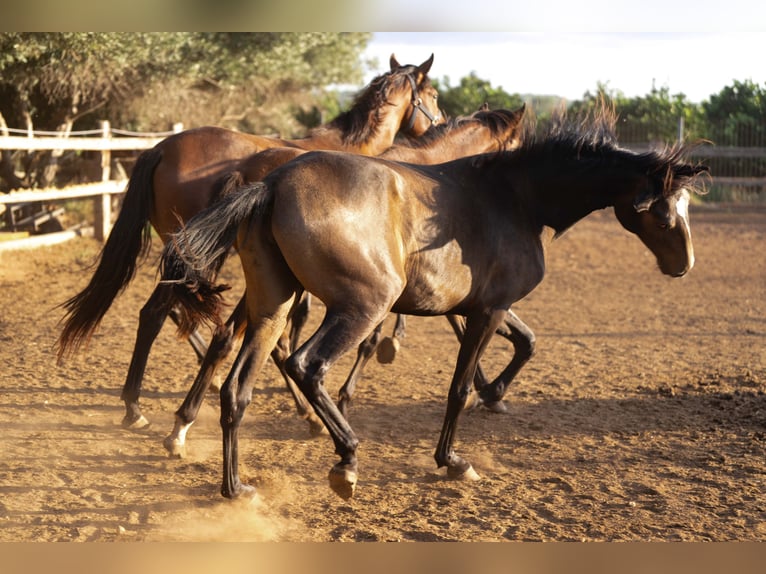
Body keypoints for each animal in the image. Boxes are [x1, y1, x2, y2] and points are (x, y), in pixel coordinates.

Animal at [55, 54, 442, 430]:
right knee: (159, 314)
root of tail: (161, 149)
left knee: (171, 311)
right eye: (435, 95)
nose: (440, 122)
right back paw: (139, 406)